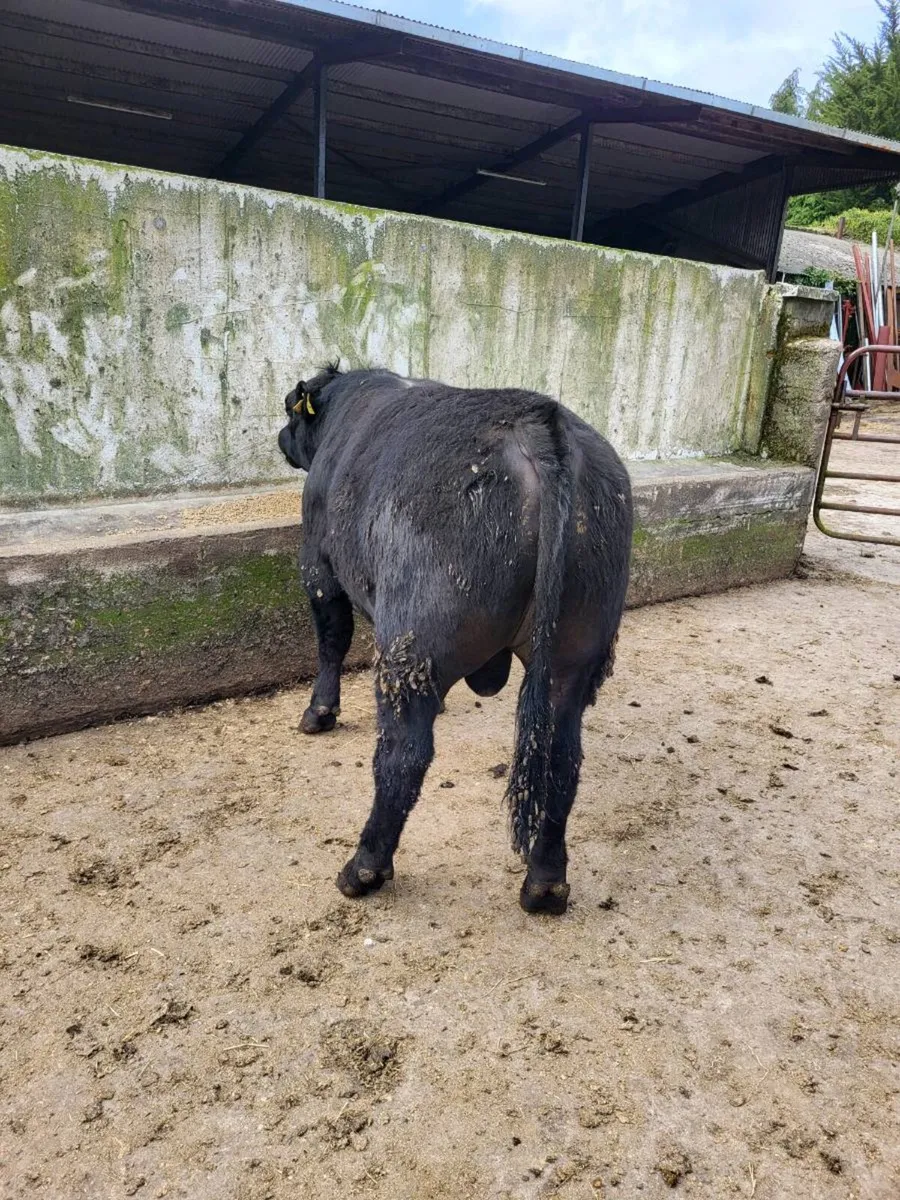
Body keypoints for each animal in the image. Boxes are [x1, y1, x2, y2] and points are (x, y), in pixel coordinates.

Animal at [277, 365, 632, 914]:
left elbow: (331, 641)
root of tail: (539, 423)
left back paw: (363, 869)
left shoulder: (318, 563)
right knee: (561, 756)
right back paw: (545, 883)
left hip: (412, 639)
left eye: (290, 412)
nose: (280, 438)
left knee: (403, 753)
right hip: (575, 656)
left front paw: (318, 713)